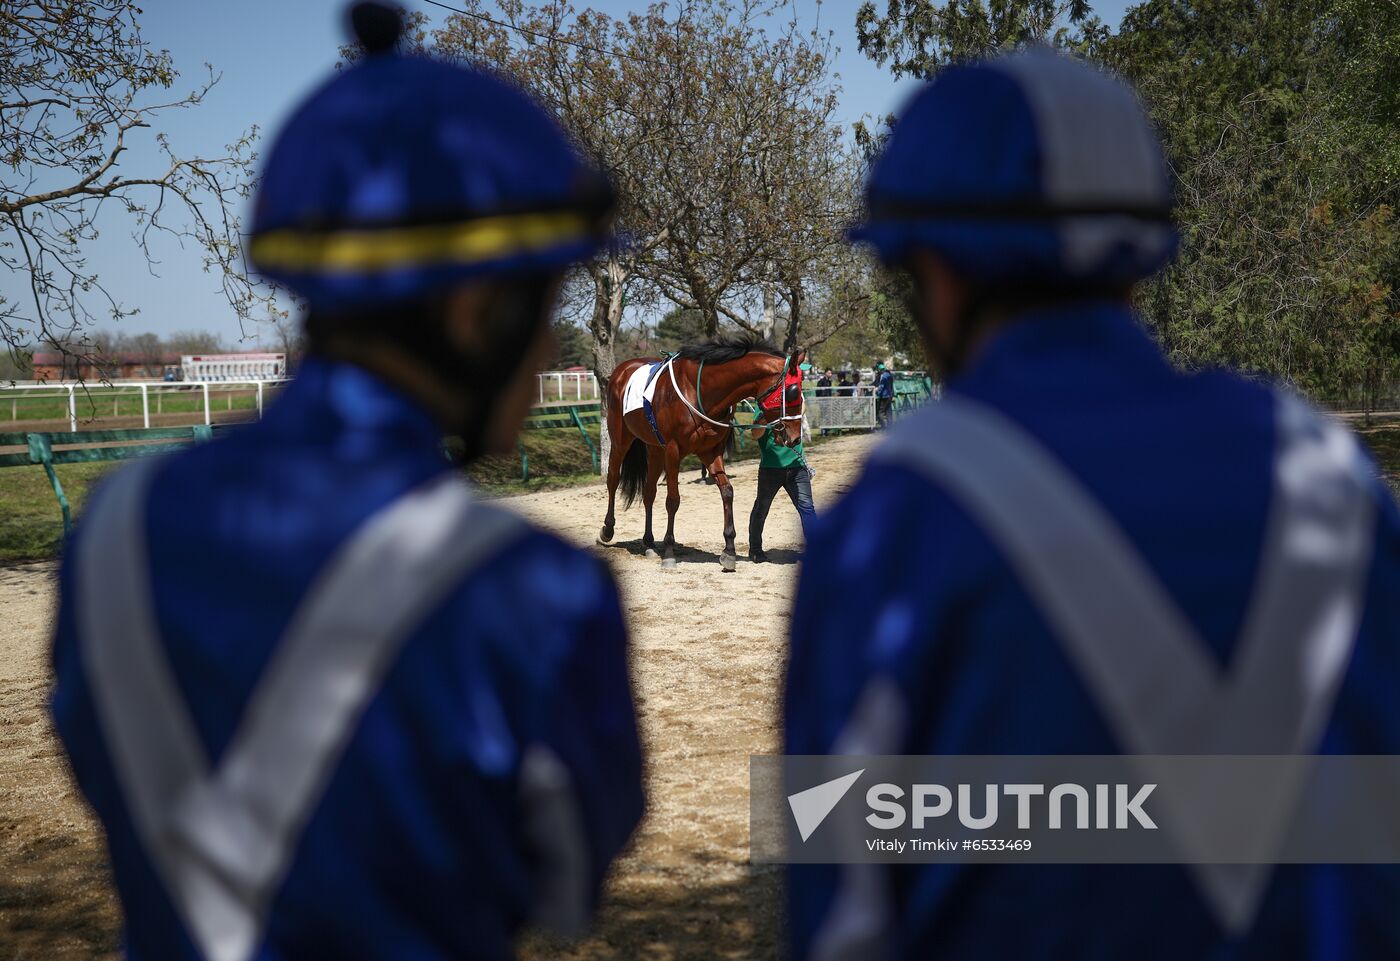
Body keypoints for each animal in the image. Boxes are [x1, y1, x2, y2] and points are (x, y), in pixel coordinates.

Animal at [598, 333, 806, 571]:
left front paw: (729, 550)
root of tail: (622, 370)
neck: (700, 393)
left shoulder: (710, 451)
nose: (795, 437)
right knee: (613, 479)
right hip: (621, 441)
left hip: (654, 449)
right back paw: (607, 530)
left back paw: (649, 543)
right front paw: (669, 552)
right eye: (793, 392)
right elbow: (673, 500)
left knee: (649, 491)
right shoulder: (673, 451)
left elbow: (727, 491)